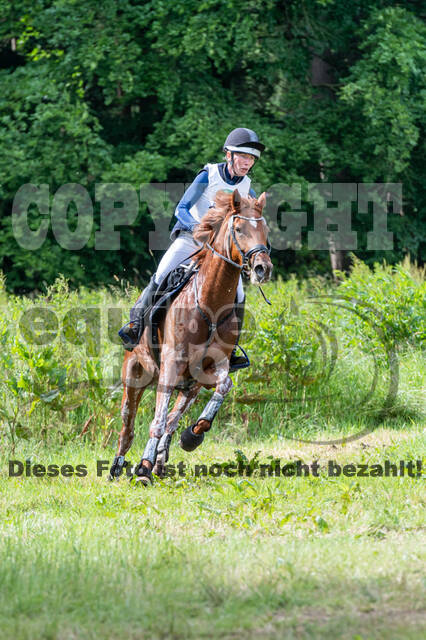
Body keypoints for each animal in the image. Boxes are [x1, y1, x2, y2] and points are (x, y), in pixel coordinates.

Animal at [109, 188, 273, 485]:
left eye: (265, 230)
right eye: (239, 229)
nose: (262, 268)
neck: (209, 303)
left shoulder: (211, 369)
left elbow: (223, 387)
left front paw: (193, 436)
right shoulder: (170, 366)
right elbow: (157, 421)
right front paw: (143, 469)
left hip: (189, 387)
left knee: (173, 420)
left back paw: (161, 462)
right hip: (135, 375)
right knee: (128, 426)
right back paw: (119, 467)